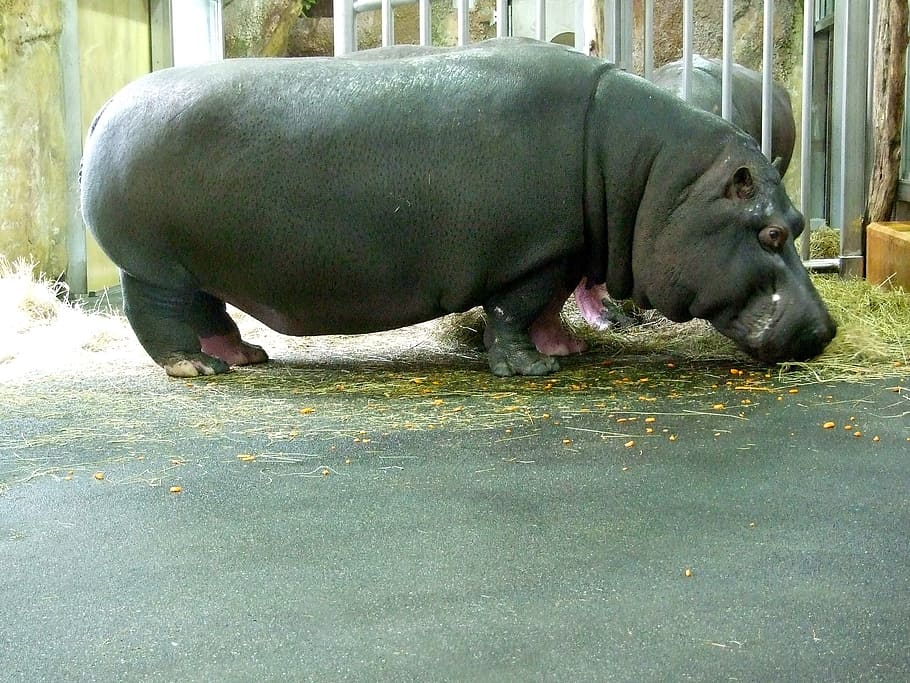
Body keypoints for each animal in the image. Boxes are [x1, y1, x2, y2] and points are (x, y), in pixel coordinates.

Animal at [80, 38, 835, 378]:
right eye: (771, 234)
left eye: (800, 224)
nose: (825, 329)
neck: (656, 176)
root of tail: (106, 106)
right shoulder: (536, 252)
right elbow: (516, 308)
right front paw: (534, 369)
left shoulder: (564, 248)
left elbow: (548, 307)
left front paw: (567, 348)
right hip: (154, 266)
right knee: (159, 321)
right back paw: (199, 369)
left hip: (196, 268)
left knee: (210, 315)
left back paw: (245, 354)